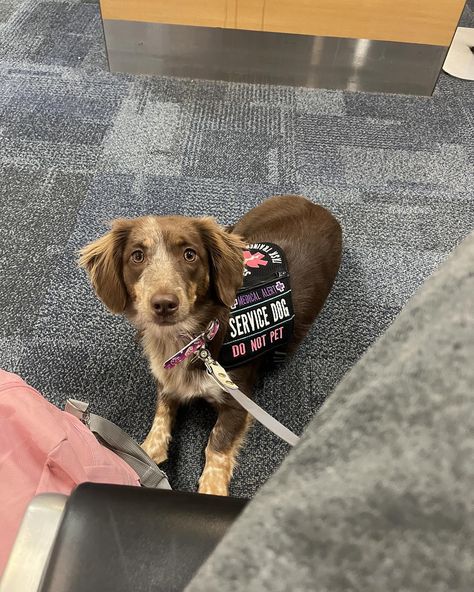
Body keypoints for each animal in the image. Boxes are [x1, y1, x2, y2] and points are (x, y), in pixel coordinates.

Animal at [79, 194, 342, 494]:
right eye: (137, 256)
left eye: (189, 254)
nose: (164, 304)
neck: (191, 341)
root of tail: (313, 204)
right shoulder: (168, 382)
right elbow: (160, 418)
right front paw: (146, 453)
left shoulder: (239, 400)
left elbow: (217, 442)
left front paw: (212, 488)